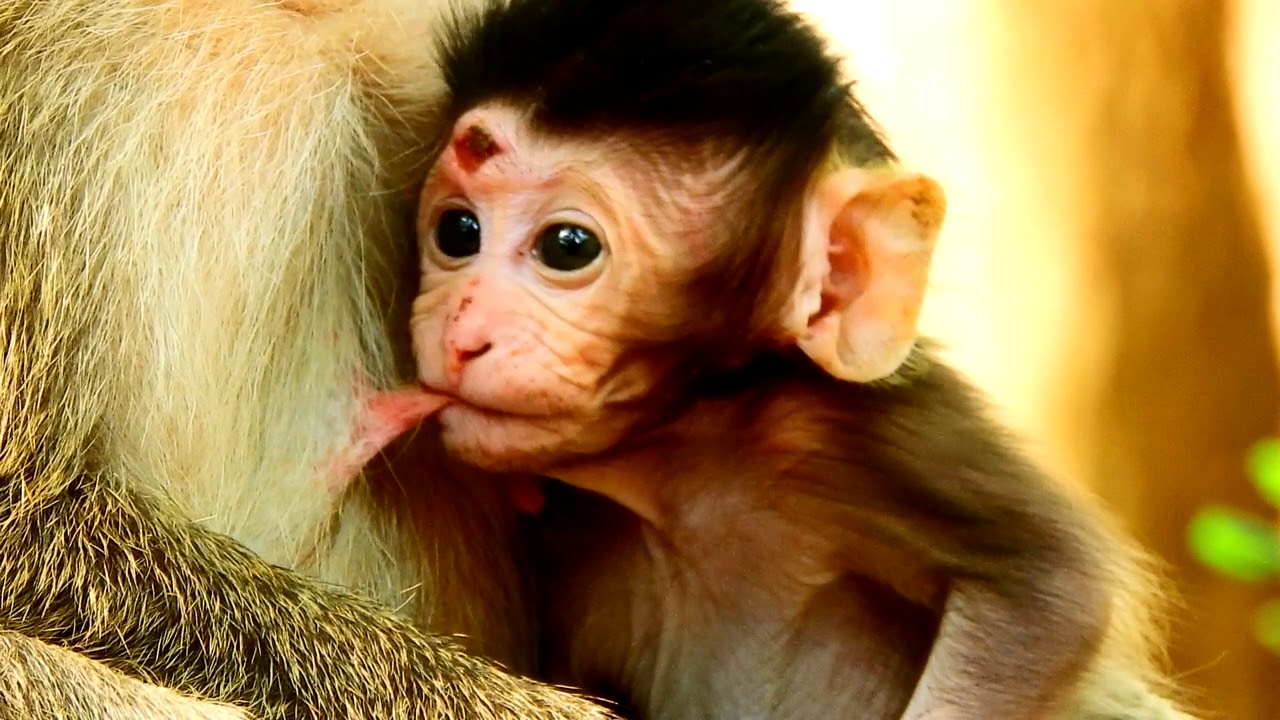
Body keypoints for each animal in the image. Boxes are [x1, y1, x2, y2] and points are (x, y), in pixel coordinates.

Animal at [342, 0, 1197, 718]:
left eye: (568, 247)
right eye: (456, 233)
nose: (461, 333)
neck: (678, 474)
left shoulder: (847, 432)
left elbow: (1051, 594)